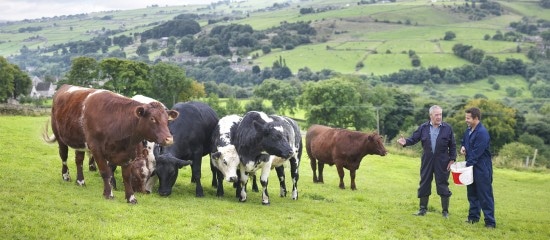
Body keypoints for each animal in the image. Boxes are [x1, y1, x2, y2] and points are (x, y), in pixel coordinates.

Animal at [45, 84, 179, 202]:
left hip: (80, 143)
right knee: (64, 157)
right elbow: (106, 172)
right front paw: (109, 193)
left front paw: (131, 198)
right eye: (152, 119)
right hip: (60, 137)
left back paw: (80, 181)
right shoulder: (97, 150)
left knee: (79, 161)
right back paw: (66, 176)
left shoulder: (128, 154)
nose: (169, 139)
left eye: (167, 120)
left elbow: (126, 176)